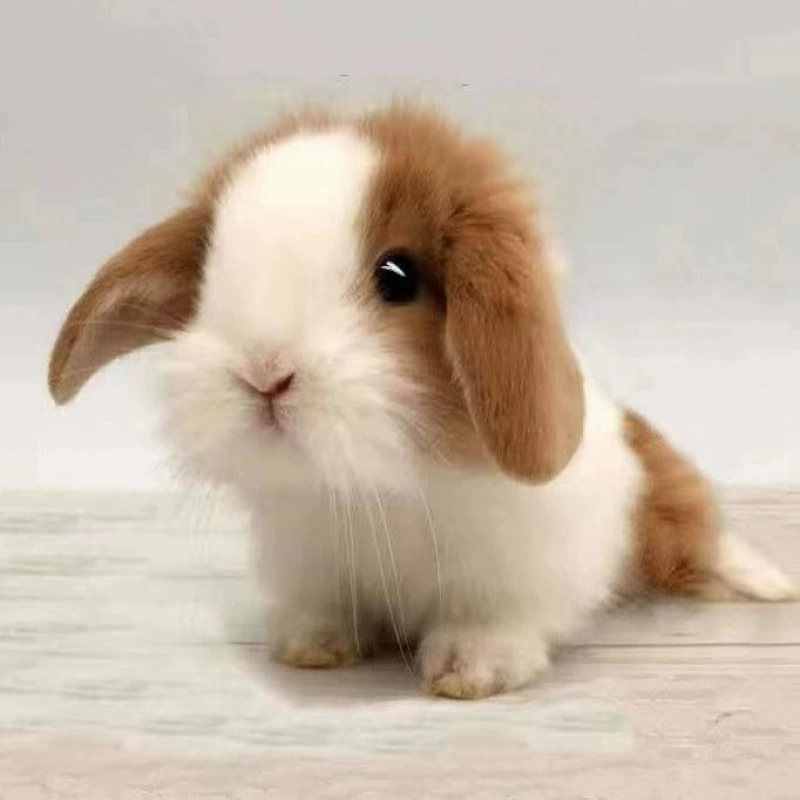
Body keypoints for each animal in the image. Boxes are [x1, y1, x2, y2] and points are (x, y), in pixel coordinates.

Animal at [48, 103, 797, 699]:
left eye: (398, 277)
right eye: (207, 276)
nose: (264, 371)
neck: (382, 491)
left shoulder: (518, 573)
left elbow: (493, 621)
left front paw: (471, 669)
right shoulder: (313, 561)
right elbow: (326, 610)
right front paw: (312, 645)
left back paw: (768, 581)